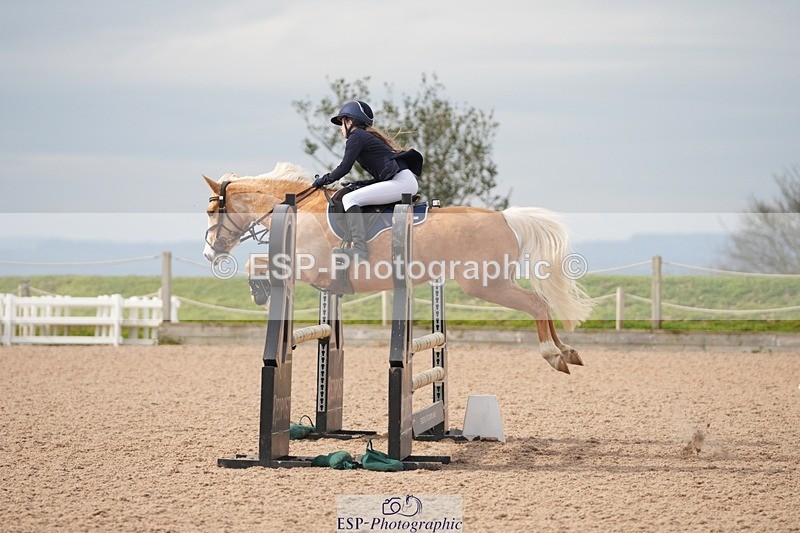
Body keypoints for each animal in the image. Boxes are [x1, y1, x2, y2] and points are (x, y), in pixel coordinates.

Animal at [202, 162, 594, 373]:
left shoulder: (308, 267)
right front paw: (259, 290)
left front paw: (258, 290)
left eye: (210, 211)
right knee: (544, 305)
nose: (209, 254)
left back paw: (554, 354)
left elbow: (255, 263)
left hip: (485, 284)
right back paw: (569, 352)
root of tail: (505, 217)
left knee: (537, 303)